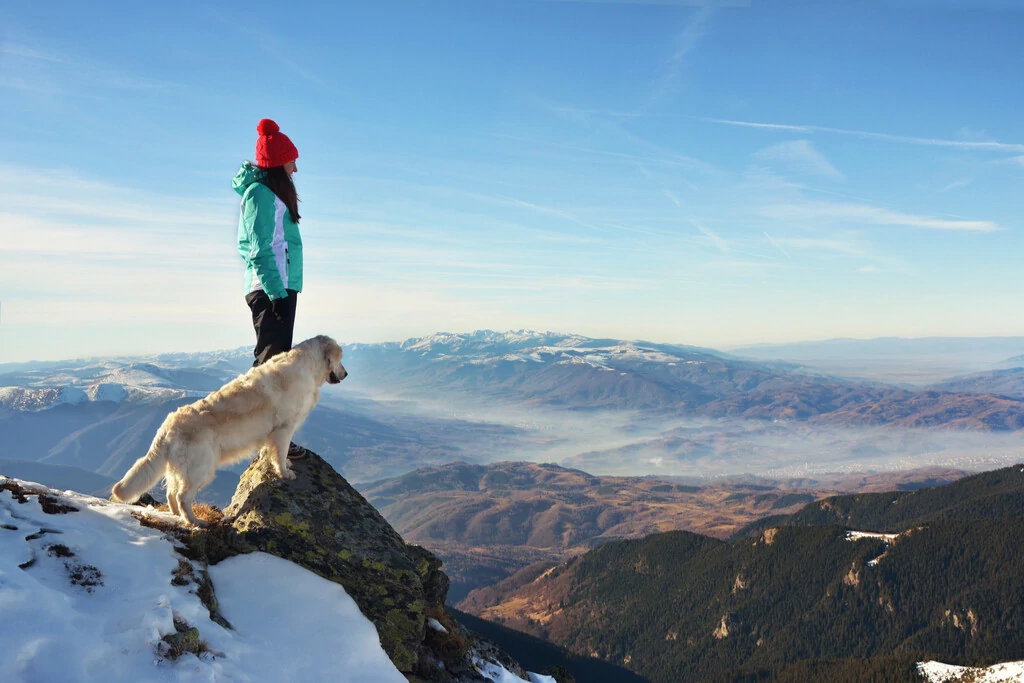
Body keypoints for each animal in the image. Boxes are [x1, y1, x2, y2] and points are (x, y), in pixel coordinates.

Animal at [110, 335, 346, 528]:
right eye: (340, 359)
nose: (346, 373)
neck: (307, 365)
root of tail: (167, 426)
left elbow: (272, 451)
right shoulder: (284, 427)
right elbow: (280, 452)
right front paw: (285, 471)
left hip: (179, 468)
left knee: (171, 494)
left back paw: (177, 516)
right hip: (201, 467)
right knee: (182, 496)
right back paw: (195, 522)